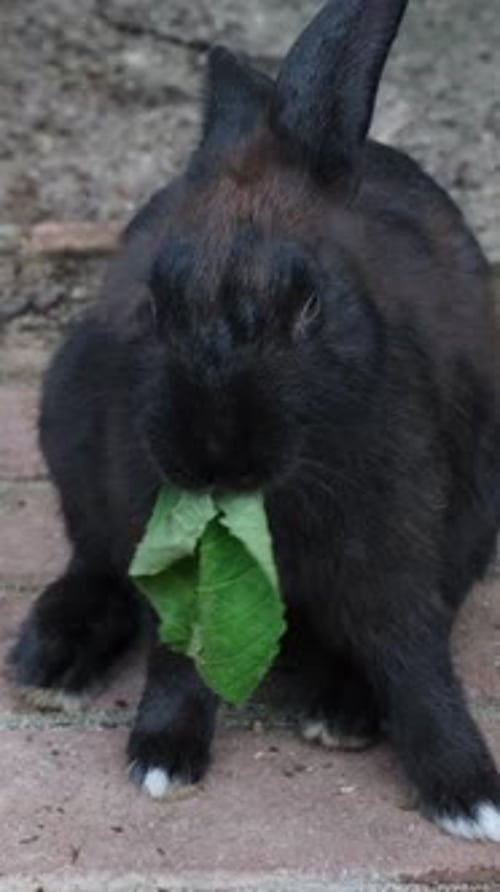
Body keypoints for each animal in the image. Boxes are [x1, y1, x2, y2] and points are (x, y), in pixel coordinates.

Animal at [8, 0, 500, 840]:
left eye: (308, 306)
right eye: (153, 301)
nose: (213, 458)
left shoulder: (396, 548)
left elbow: (414, 656)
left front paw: (472, 796)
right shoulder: (171, 550)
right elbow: (181, 654)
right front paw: (162, 758)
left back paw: (342, 714)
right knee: (93, 564)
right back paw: (51, 662)